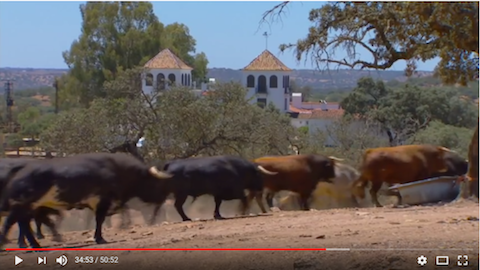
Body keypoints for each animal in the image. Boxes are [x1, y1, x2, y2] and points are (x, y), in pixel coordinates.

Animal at [0, 152, 172, 249]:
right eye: (156, 183)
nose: (162, 198)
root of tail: (21, 170)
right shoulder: (103, 201)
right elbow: (100, 220)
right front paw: (100, 238)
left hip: (28, 206)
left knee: (22, 223)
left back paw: (32, 243)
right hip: (24, 205)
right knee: (17, 223)